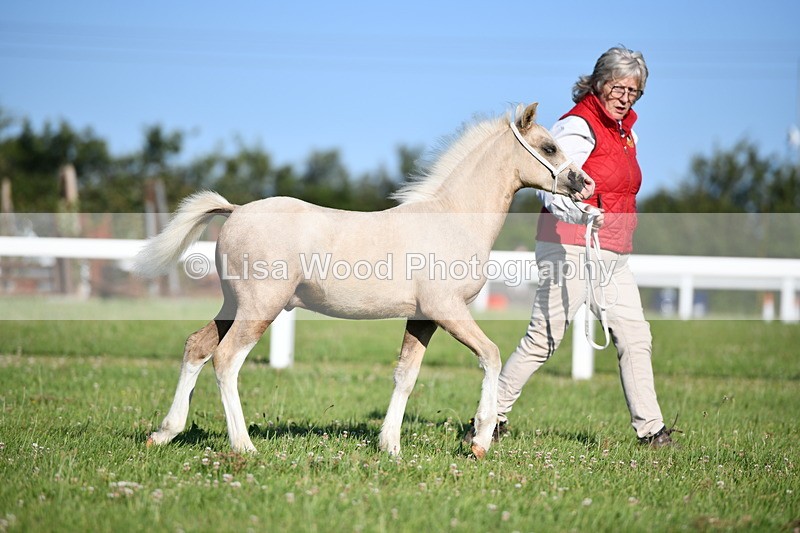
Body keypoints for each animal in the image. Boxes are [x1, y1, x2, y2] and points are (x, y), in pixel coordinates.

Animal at [134, 102, 594, 459]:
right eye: (549, 146)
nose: (585, 184)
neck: (452, 220)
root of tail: (236, 210)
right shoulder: (448, 310)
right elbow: (492, 356)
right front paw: (480, 439)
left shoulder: (423, 318)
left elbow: (405, 375)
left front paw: (390, 446)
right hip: (259, 308)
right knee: (226, 360)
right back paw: (243, 445)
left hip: (234, 305)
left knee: (196, 347)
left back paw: (164, 433)